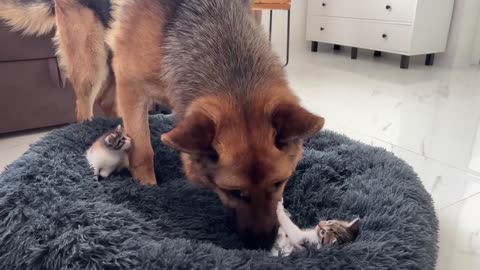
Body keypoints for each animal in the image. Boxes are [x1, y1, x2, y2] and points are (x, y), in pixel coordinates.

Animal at [0, 0, 326, 249]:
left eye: (279, 183)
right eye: (233, 192)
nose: (263, 244)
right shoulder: (131, 86)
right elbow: (144, 151)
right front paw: (148, 187)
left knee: (105, 102)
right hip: (92, 62)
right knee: (84, 106)